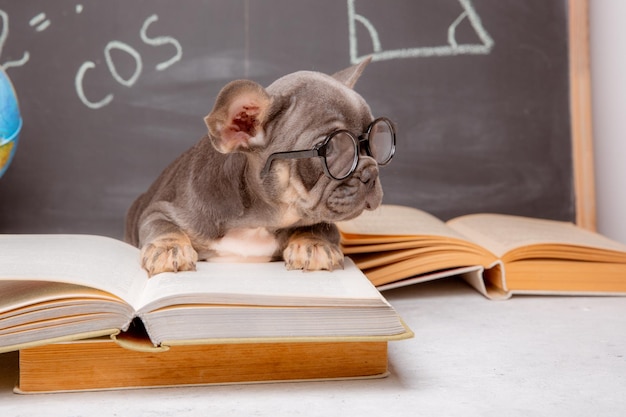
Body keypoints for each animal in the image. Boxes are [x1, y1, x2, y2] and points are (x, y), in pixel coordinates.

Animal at [123, 57, 392, 274]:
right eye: (332, 147)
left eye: (375, 143)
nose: (371, 172)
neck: (257, 222)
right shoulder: (160, 209)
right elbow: (161, 224)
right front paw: (169, 248)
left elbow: (322, 226)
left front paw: (315, 244)